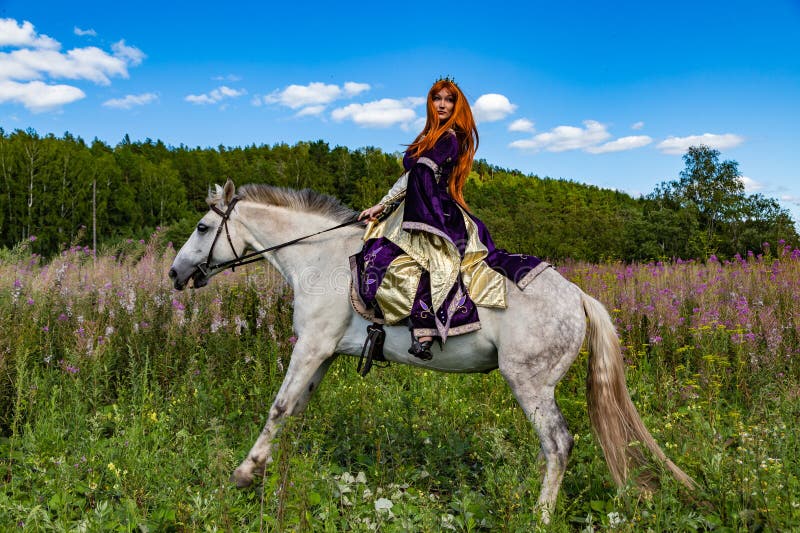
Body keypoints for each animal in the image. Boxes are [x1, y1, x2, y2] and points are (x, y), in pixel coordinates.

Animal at [167, 179, 692, 520]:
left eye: (201, 227)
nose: (174, 274)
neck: (319, 259)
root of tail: (579, 297)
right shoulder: (324, 354)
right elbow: (293, 410)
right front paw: (269, 471)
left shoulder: (311, 346)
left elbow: (277, 407)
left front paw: (243, 473)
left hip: (530, 384)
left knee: (558, 444)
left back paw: (540, 516)